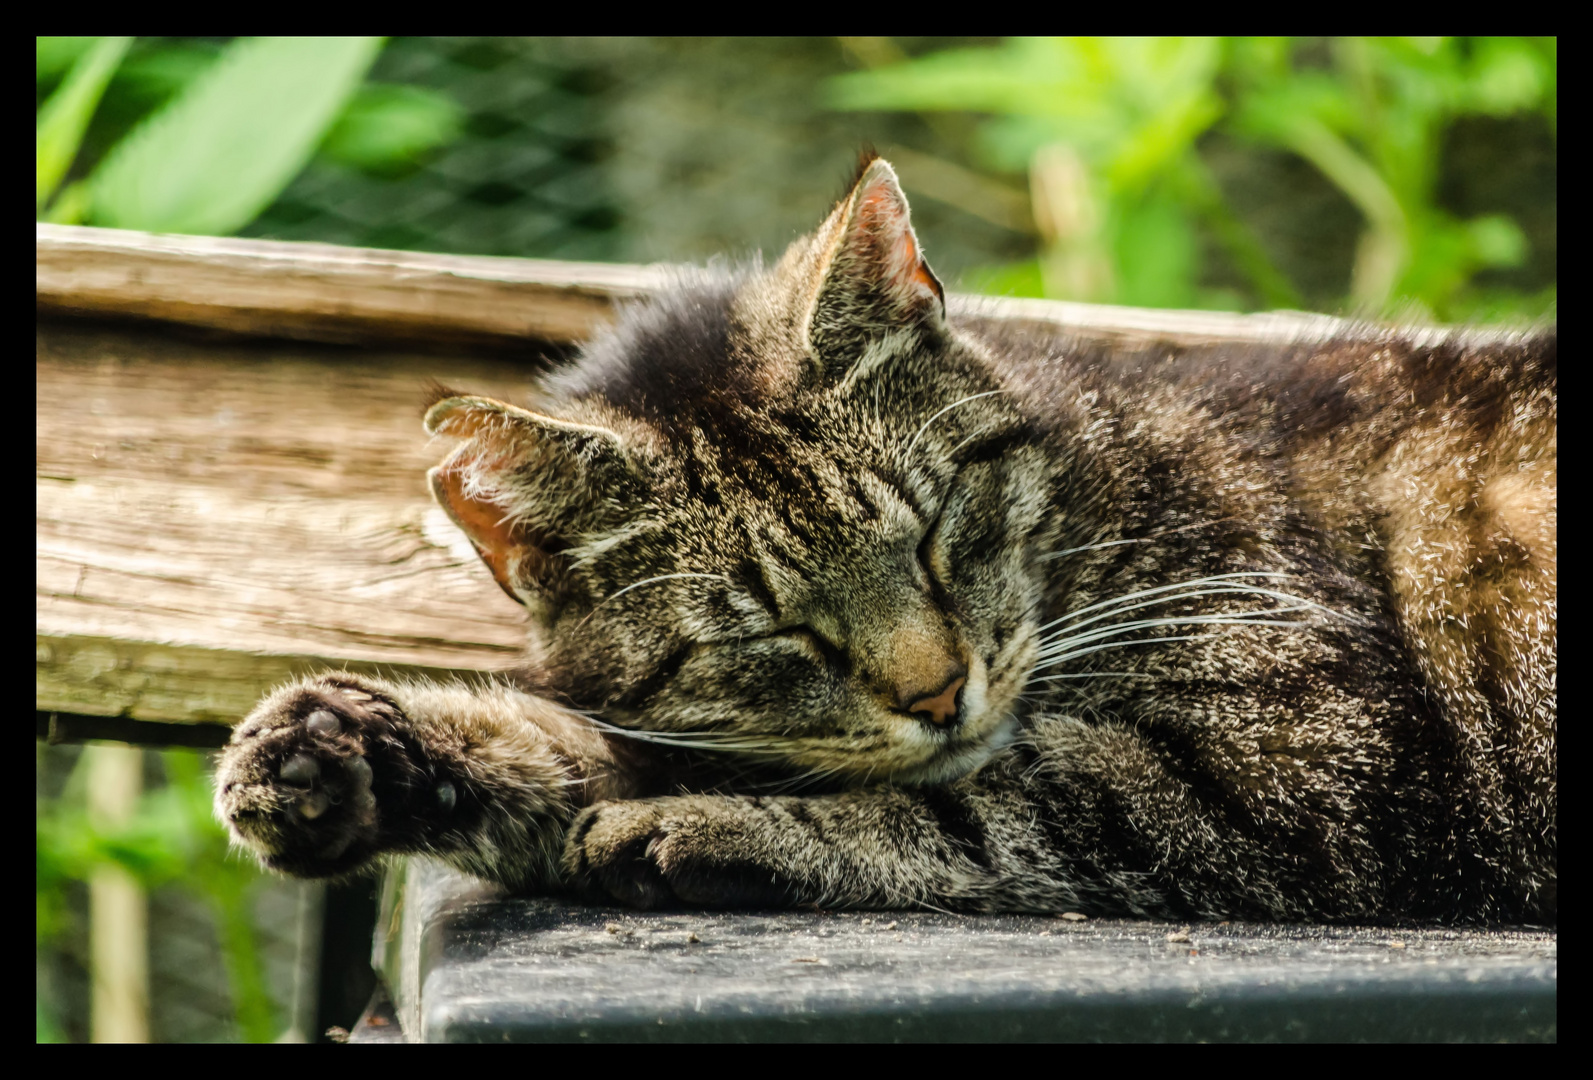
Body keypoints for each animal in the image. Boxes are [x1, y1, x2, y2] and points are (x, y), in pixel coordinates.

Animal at [211, 156, 1554, 923]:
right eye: (771, 629)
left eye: (931, 535)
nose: (938, 690)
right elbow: (589, 746)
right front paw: (355, 751)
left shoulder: (1302, 747)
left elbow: (980, 799)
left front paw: (708, 832)